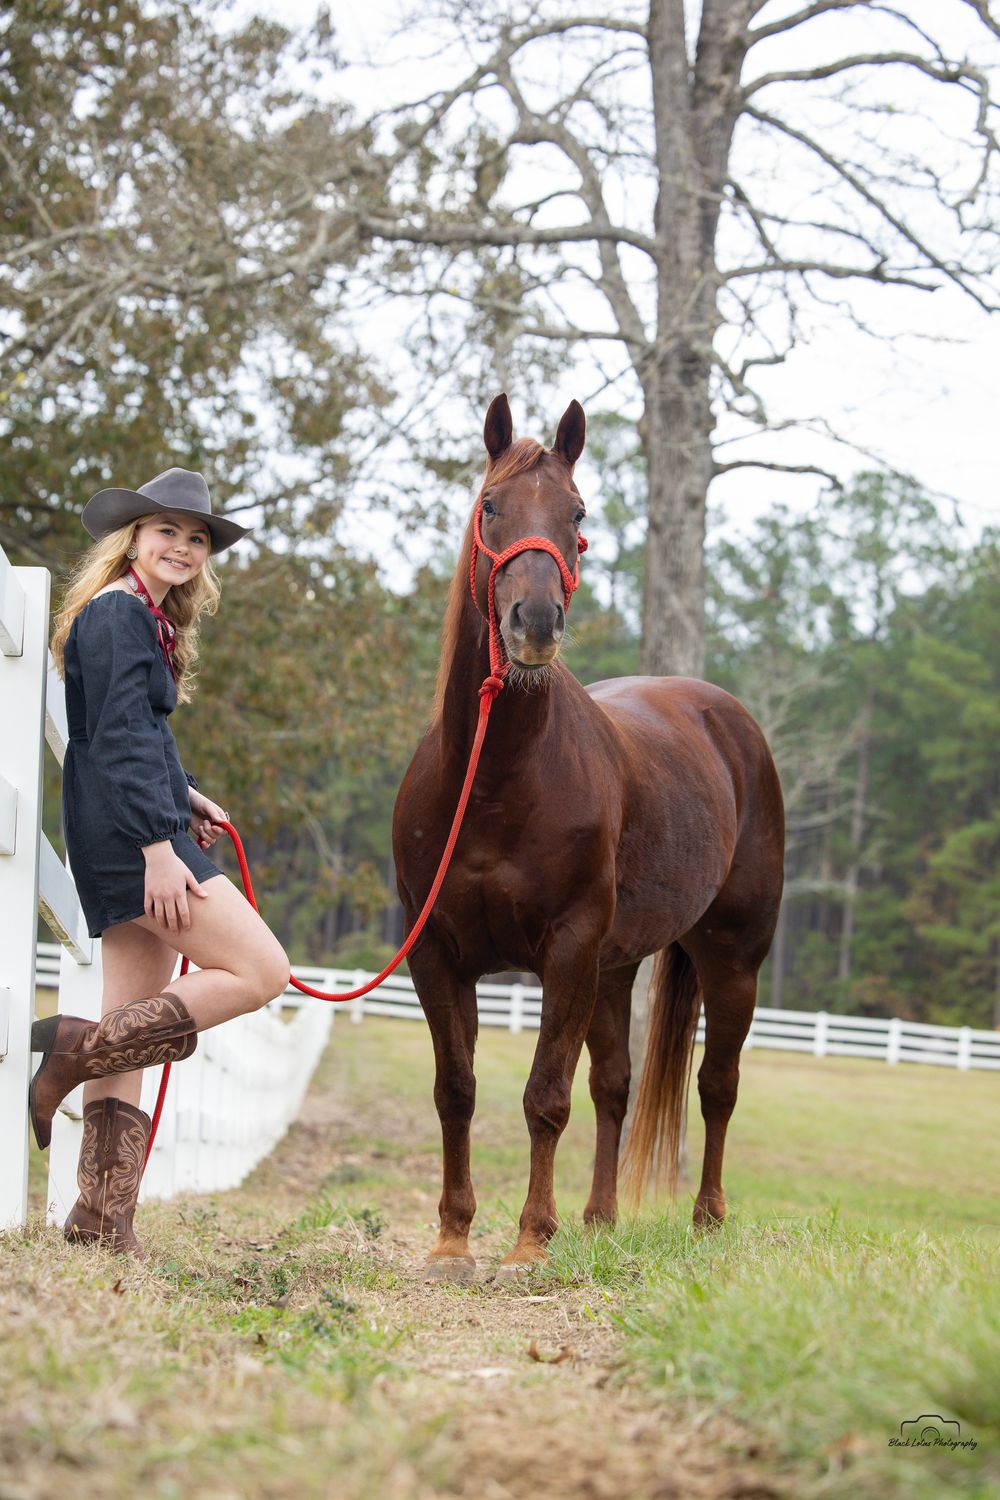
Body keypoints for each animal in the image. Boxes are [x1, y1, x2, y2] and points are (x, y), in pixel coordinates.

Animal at [391, 394, 784, 1280]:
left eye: (576, 515)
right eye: (490, 507)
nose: (534, 623)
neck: (495, 780)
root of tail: (727, 719)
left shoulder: (566, 951)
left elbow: (544, 1096)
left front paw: (530, 1241)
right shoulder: (436, 952)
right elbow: (456, 1090)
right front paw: (452, 1237)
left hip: (731, 959)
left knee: (717, 1085)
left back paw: (706, 1220)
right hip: (617, 968)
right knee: (617, 1084)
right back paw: (600, 1219)